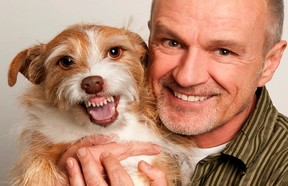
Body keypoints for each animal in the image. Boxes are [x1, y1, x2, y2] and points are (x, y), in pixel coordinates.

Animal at [7, 24, 191, 185]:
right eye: (66, 61)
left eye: (114, 52)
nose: (92, 83)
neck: (105, 132)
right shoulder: (43, 149)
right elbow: (38, 169)